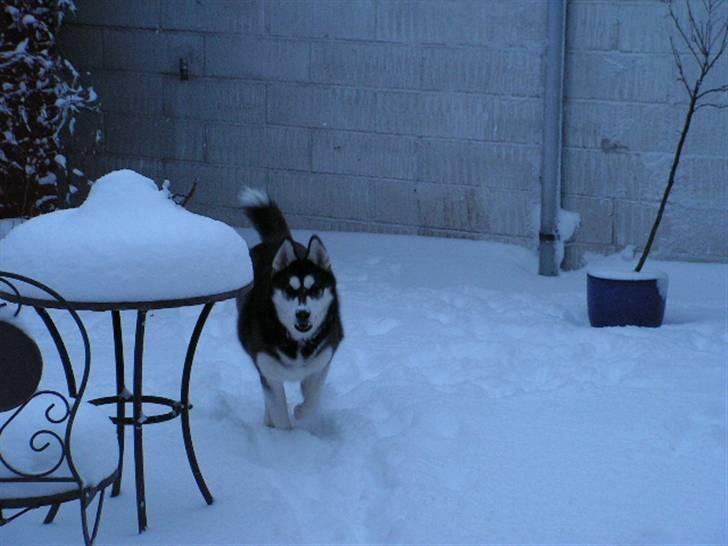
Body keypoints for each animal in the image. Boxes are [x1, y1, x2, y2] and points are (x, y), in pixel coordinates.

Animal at [236, 189, 344, 428]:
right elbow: (278, 411)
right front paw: (283, 435)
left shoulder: (321, 363)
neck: (297, 342)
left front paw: (301, 411)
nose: (302, 314)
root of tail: (277, 241)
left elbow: (311, 401)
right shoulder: (268, 370)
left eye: (315, 289)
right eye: (289, 289)